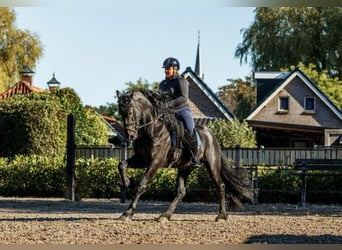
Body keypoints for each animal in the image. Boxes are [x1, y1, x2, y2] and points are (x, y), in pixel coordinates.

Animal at [115, 89, 251, 222]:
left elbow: (141, 185)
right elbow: (122, 164)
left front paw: (127, 213)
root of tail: (211, 134)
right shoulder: (142, 159)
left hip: (212, 165)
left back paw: (221, 216)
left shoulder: (155, 162)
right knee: (181, 192)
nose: (130, 135)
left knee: (221, 186)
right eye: (121, 112)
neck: (152, 129)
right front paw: (128, 182)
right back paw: (165, 216)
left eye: (130, 111)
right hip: (185, 168)